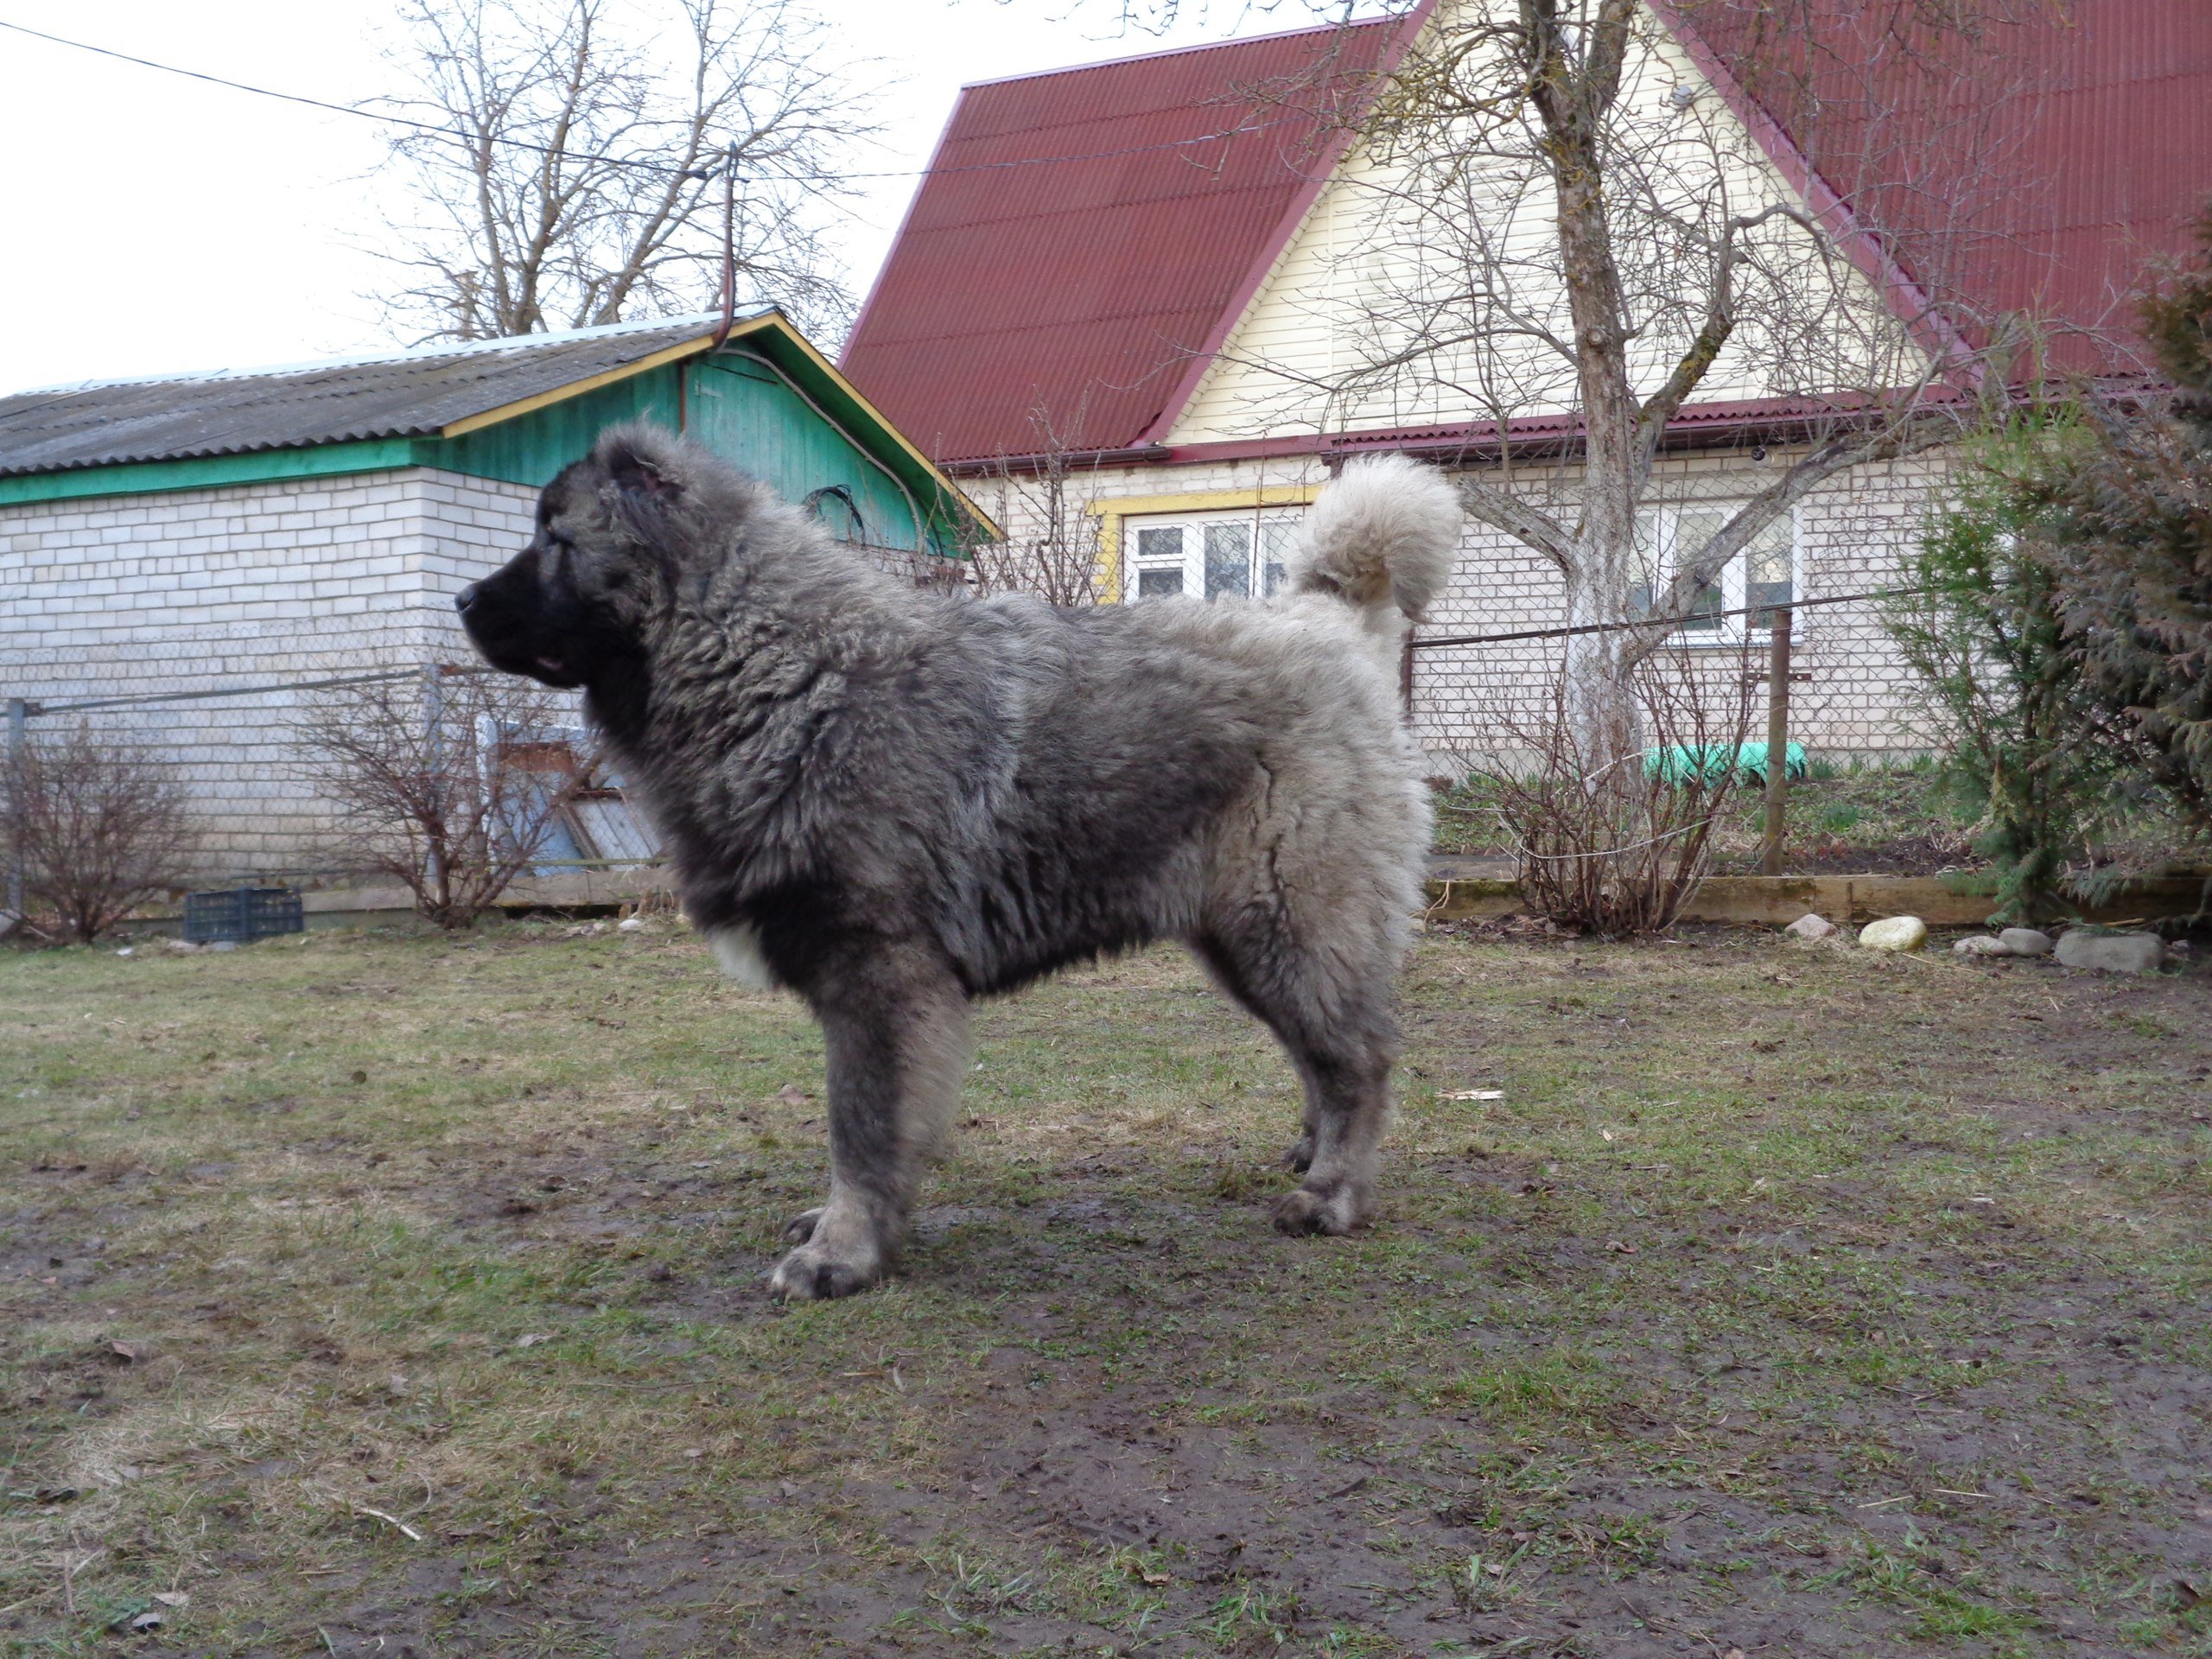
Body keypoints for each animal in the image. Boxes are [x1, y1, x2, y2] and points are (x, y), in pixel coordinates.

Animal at [457, 424, 1459, 1300]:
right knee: (1318, 1056)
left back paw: (1332, 1194)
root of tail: (1329, 623)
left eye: (554, 538)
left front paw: (842, 1252)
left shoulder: (879, 979)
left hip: (1290, 920)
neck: (776, 670)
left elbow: (860, 1129)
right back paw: (1311, 1155)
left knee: (1357, 1058)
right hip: (1246, 938)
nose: (464, 603)